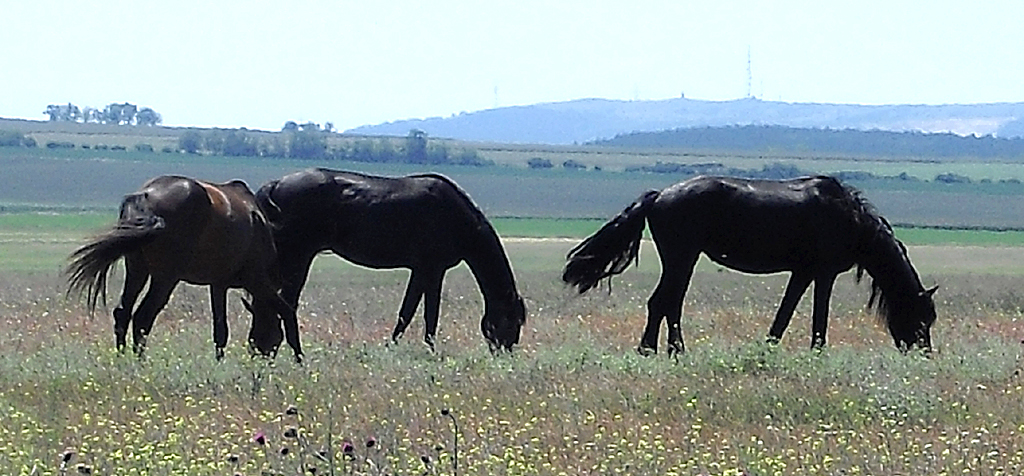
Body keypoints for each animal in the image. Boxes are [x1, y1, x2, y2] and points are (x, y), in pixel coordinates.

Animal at [65, 175, 303, 361]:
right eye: (274, 336)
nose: (261, 356)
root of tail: (145, 197)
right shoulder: (257, 280)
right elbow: (287, 312)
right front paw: (299, 359)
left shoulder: (219, 284)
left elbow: (220, 331)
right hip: (165, 278)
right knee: (142, 318)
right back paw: (140, 364)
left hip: (137, 271)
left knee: (123, 313)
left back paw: (122, 362)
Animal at [255, 168, 526, 352]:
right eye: (513, 321)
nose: (505, 351)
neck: (457, 217)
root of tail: (275, 184)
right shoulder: (433, 269)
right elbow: (427, 315)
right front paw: (427, 350)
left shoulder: (421, 270)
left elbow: (409, 311)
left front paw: (395, 345)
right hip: (297, 257)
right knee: (285, 303)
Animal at [563, 175, 937, 355]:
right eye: (922, 319)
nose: (924, 353)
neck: (852, 219)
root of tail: (659, 195)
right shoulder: (824, 273)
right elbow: (819, 318)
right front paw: (816, 352)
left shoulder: (803, 273)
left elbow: (784, 315)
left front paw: (769, 347)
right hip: (682, 257)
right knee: (663, 303)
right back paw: (659, 350)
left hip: (682, 260)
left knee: (669, 303)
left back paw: (666, 350)